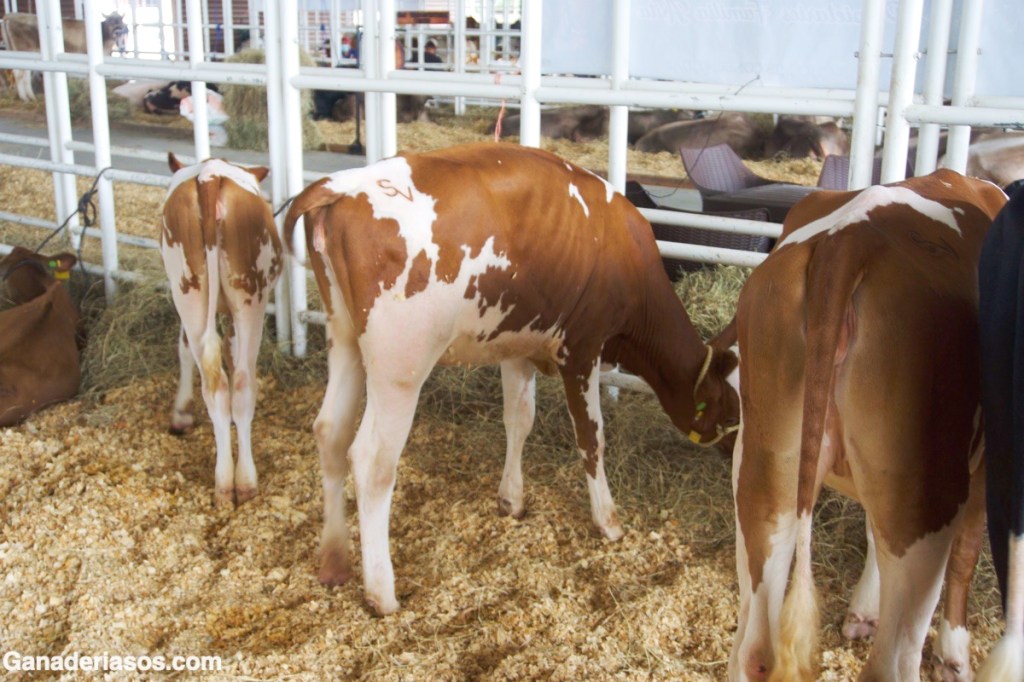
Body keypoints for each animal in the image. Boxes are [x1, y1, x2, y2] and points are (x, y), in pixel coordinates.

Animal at [160, 153, 283, 507]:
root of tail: (209, 176)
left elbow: (187, 347)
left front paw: (181, 412)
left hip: (194, 293)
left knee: (220, 381)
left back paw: (230, 482)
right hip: (241, 297)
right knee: (234, 382)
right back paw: (240, 482)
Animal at [282, 142, 740, 615]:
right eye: (729, 410)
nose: (733, 451)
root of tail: (342, 185)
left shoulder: (518, 345)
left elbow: (519, 420)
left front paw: (512, 499)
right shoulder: (582, 349)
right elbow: (591, 437)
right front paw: (608, 521)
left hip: (344, 338)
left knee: (330, 432)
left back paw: (334, 561)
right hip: (399, 369)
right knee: (372, 460)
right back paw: (382, 592)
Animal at [693, 170, 1006, 681]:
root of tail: (847, 242)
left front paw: (863, 609)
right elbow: (965, 554)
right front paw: (954, 654)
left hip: (765, 476)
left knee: (752, 648)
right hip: (927, 499)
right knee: (890, 661)